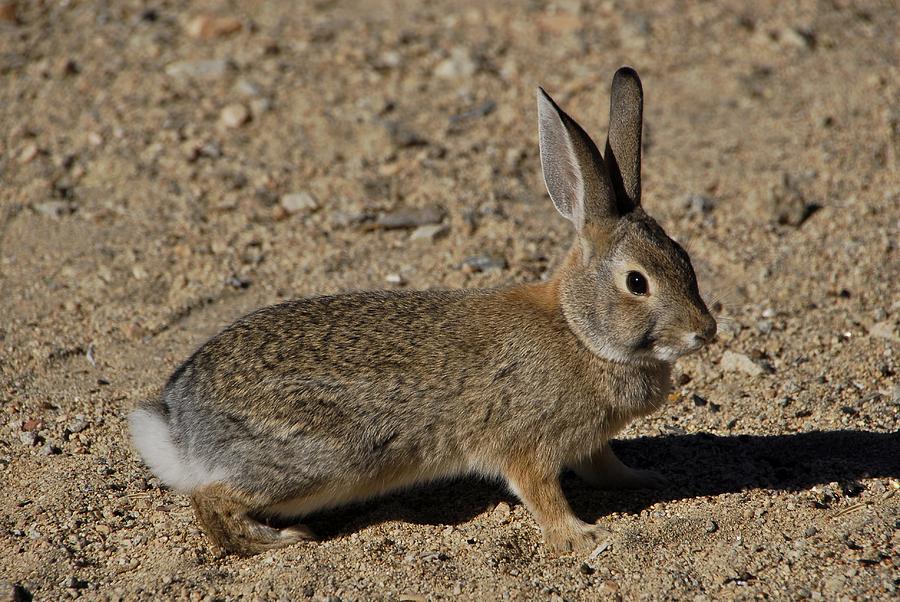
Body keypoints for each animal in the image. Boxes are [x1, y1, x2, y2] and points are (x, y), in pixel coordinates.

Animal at [128, 64, 716, 552]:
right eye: (636, 282)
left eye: (684, 258)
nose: (705, 331)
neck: (580, 332)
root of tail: (177, 423)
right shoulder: (526, 445)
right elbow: (541, 493)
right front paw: (582, 537)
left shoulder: (591, 444)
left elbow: (607, 468)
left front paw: (648, 480)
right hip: (317, 460)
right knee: (213, 502)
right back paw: (283, 539)